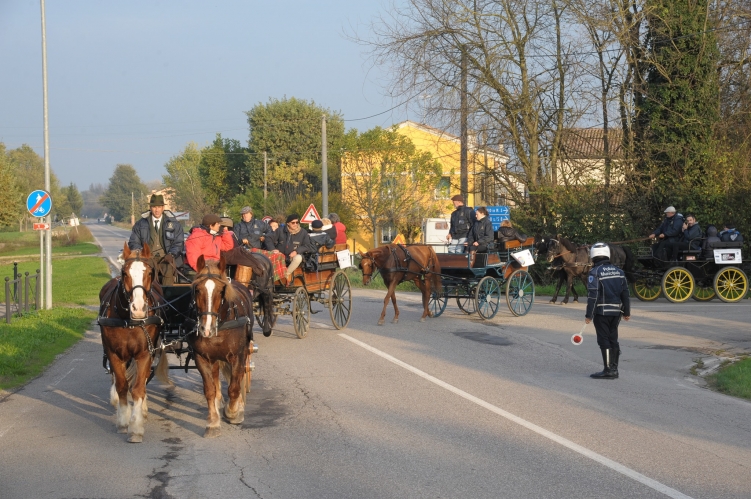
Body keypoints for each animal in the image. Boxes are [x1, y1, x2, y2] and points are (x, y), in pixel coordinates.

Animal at [98, 244, 167, 444]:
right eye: (124, 272)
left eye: (150, 272)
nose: (138, 309)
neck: (129, 321)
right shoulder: (114, 353)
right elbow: (122, 386)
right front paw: (123, 420)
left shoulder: (144, 354)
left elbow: (137, 388)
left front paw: (135, 427)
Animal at [191, 256, 256, 440]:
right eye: (197, 290)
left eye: (221, 291)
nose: (206, 329)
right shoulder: (202, 357)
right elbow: (209, 390)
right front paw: (213, 422)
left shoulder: (239, 356)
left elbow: (234, 387)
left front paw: (233, 412)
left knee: (237, 379)